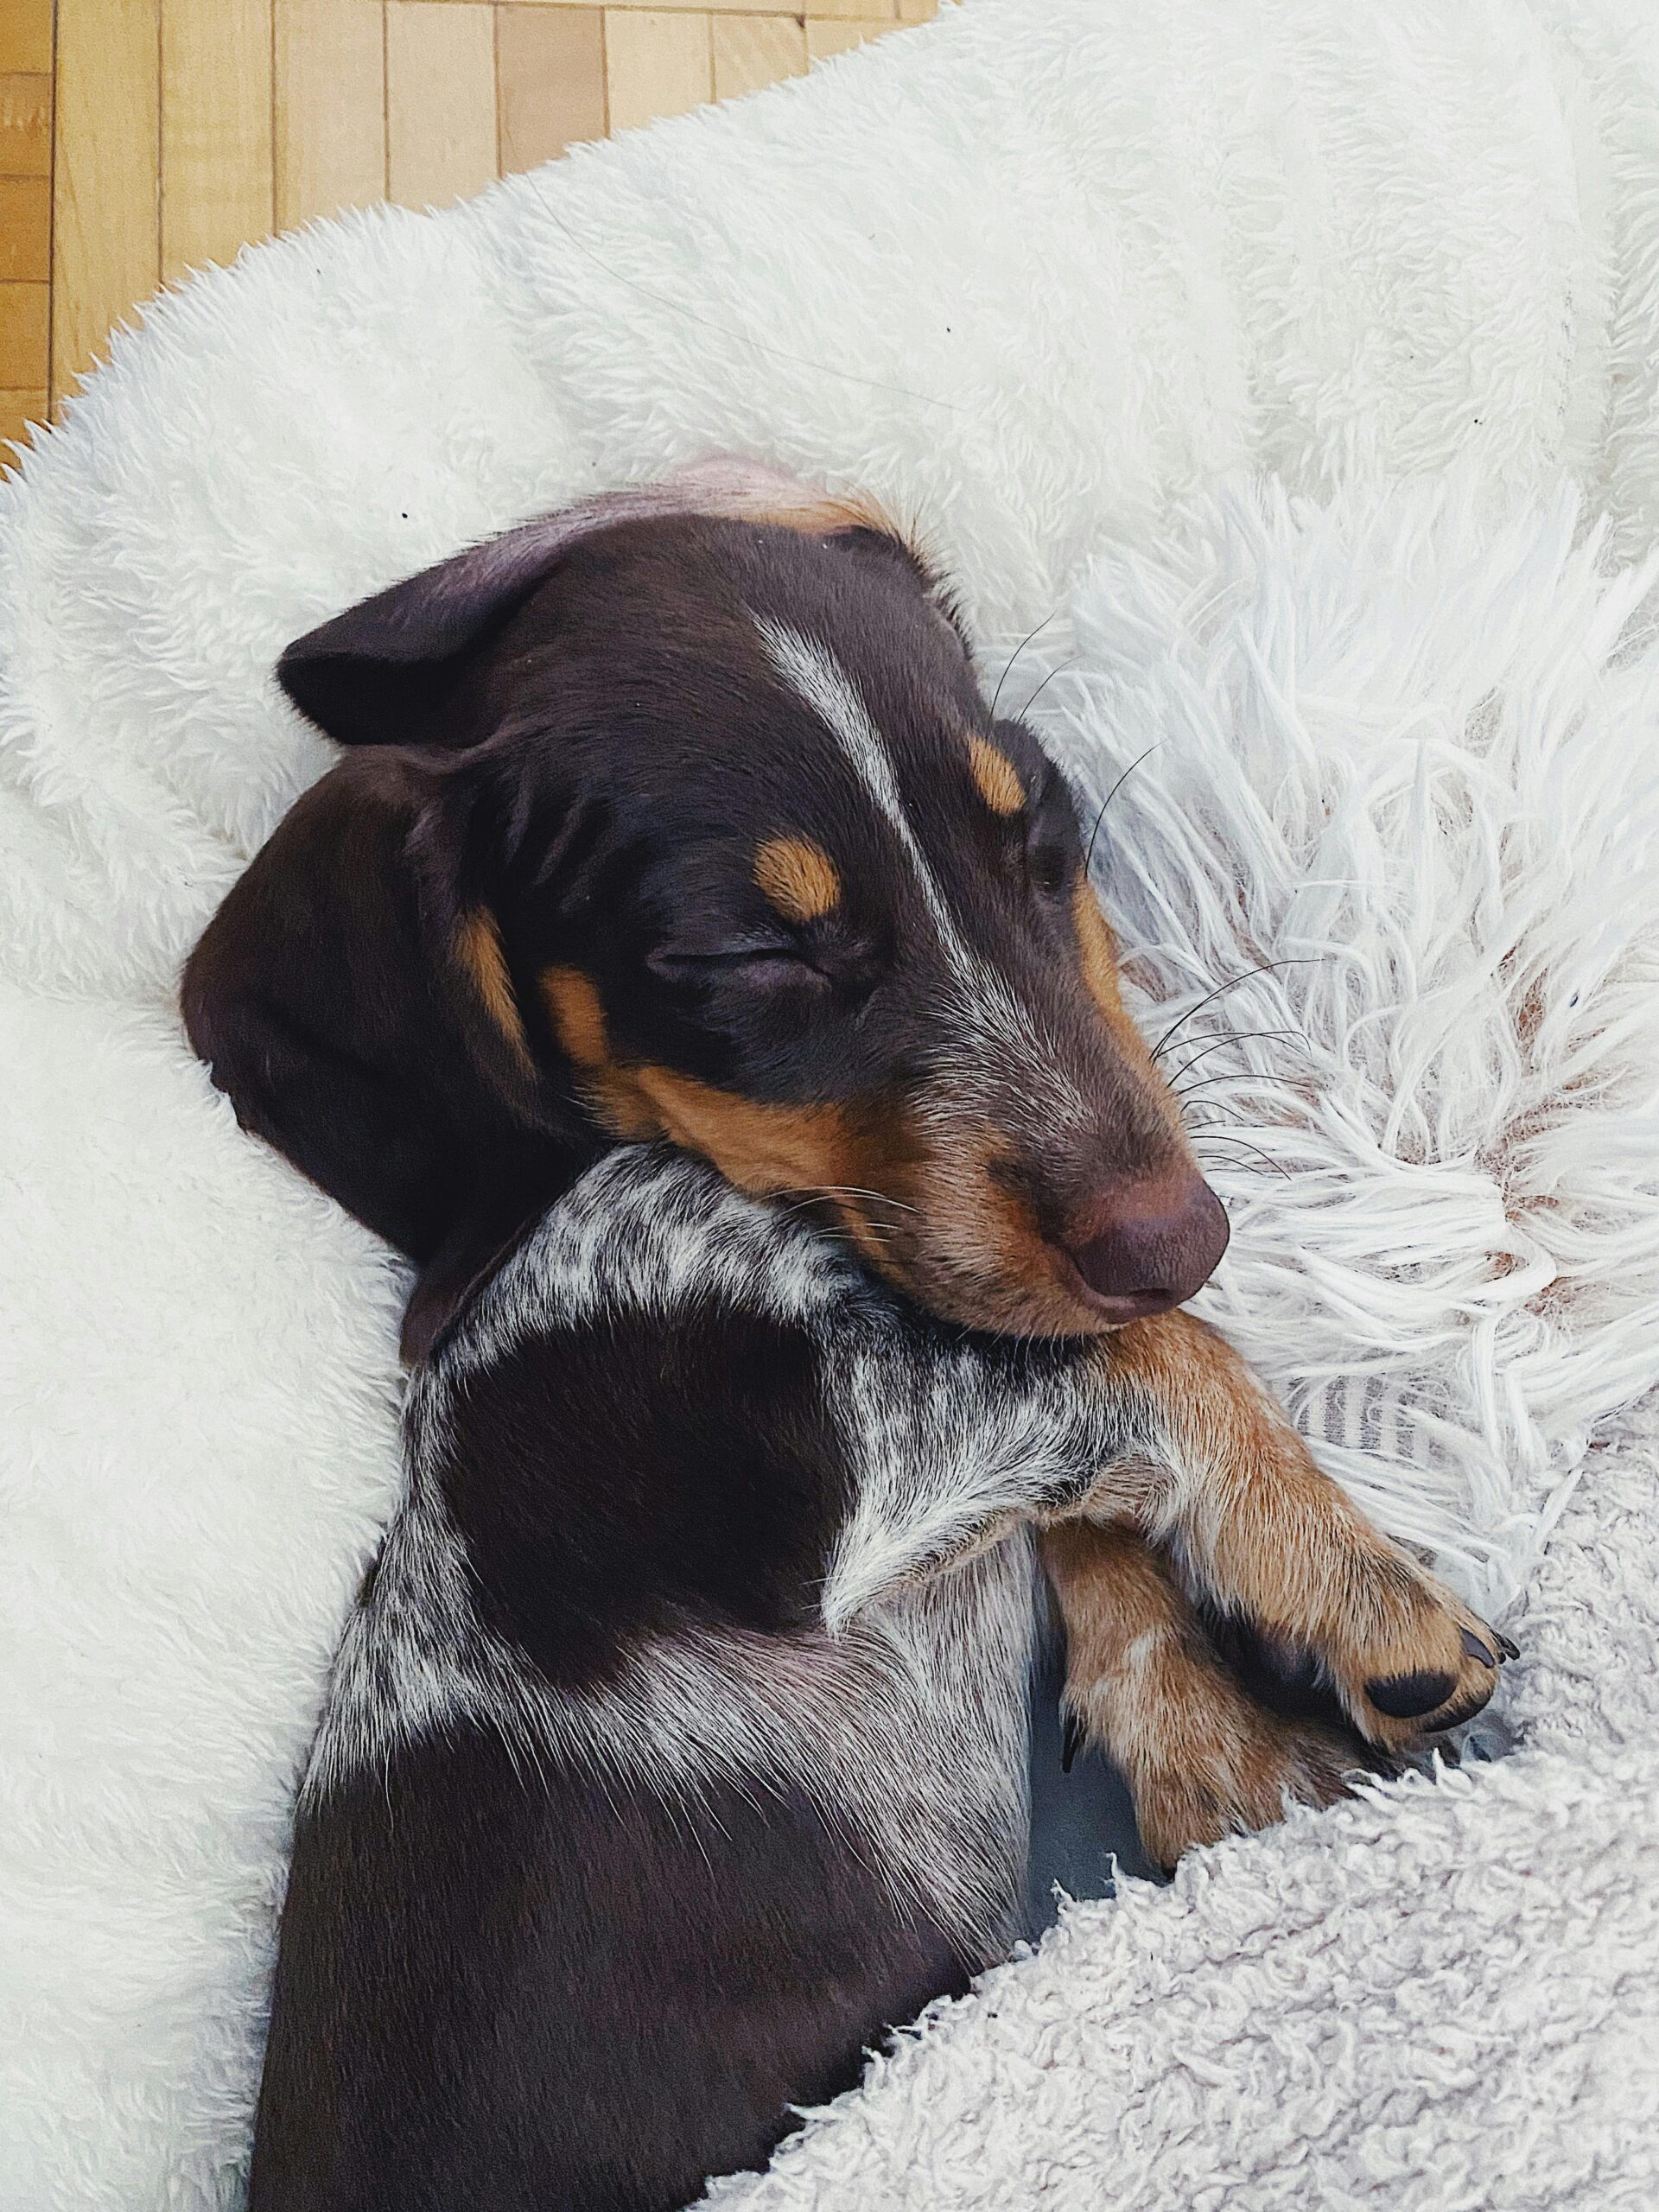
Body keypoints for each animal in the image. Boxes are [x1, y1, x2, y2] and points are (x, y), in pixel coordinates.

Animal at [184, 457, 1522, 2202]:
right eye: (749, 957)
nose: (1182, 1239)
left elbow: (1076, 1471)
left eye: (1044, 838)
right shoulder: (827, 1470)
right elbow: (1142, 1369)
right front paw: (1351, 1581)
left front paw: (1212, 1743)